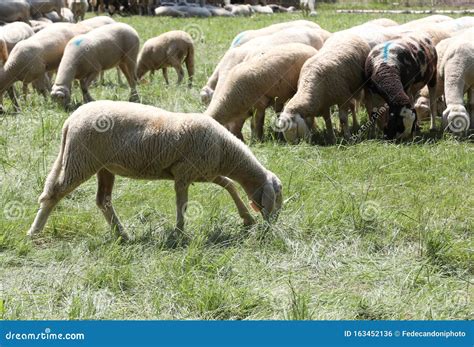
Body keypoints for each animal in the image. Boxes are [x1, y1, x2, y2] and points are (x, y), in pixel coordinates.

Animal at [27, 100, 282, 241]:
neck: (224, 150)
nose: (274, 223)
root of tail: (70, 121)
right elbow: (183, 204)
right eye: (277, 196)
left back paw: (123, 235)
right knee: (54, 194)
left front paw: (247, 218)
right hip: (80, 161)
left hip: (103, 167)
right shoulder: (184, 174)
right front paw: (179, 232)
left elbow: (229, 185)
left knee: (103, 200)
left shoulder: (204, 172)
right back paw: (34, 231)